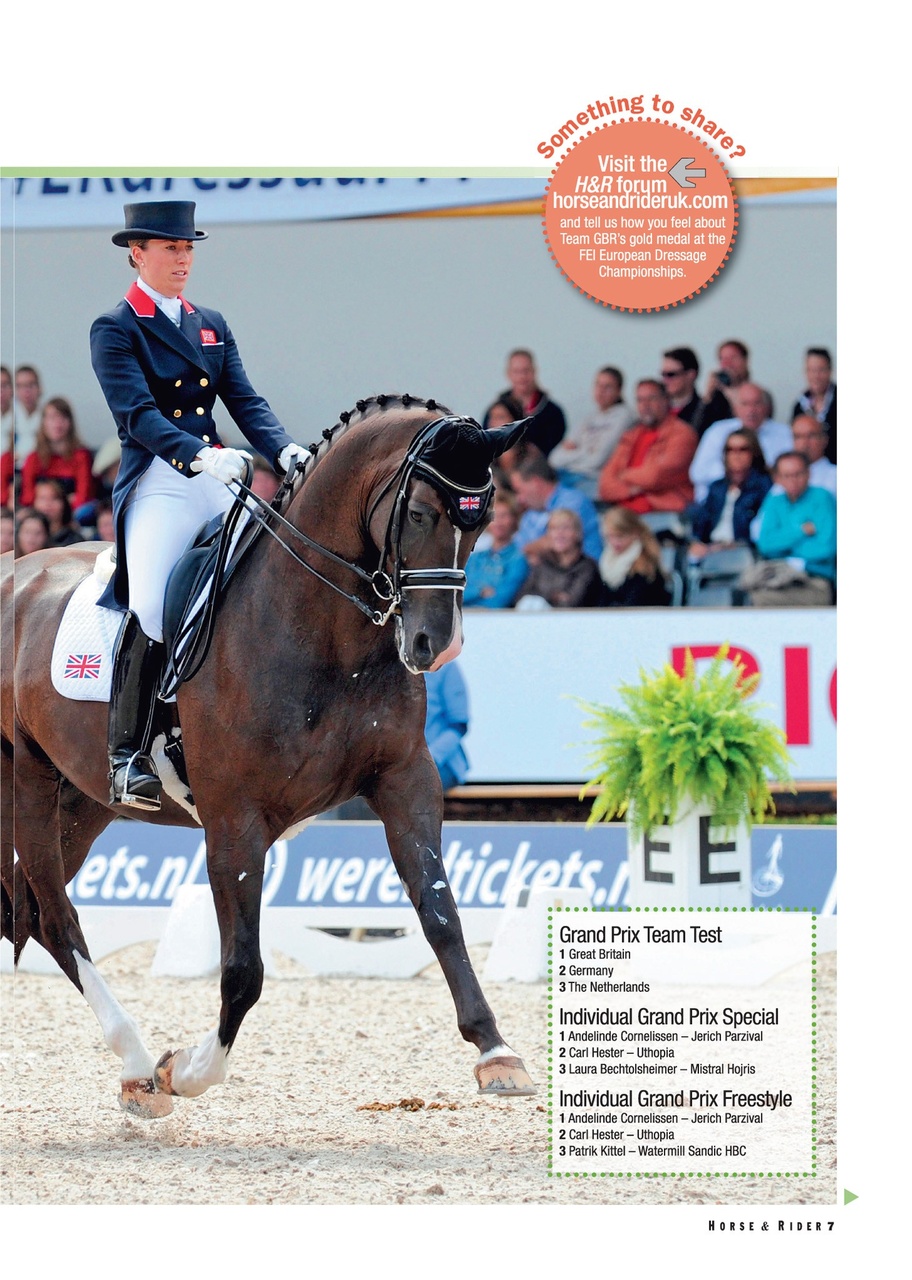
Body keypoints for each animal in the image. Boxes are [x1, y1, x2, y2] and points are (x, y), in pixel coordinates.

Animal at [1, 395, 536, 1117]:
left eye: (482, 523)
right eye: (422, 513)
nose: (436, 646)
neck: (322, 629)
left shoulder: (404, 779)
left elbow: (441, 914)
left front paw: (496, 1053)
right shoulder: (235, 817)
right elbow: (244, 969)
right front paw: (187, 1069)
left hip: (81, 804)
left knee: (36, 915)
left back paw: (137, 1074)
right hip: (27, 782)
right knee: (57, 919)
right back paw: (143, 1063)